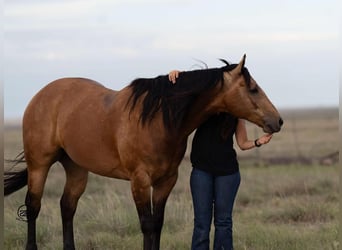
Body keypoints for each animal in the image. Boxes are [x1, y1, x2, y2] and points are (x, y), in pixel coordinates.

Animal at [4, 55, 284, 250]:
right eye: (253, 88)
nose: (278, 121)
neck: (158, 119)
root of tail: (41, 96)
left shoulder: (166, 181)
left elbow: (157, 223)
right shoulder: (139, 181)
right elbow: (147, 224)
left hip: (76, 167)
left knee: (67, 207)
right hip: (39, 165)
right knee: (33, 206)